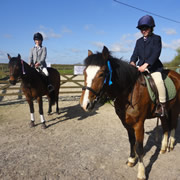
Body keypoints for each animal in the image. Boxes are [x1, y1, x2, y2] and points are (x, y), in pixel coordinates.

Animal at [80, 46, 180, 180]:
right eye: (84, 72)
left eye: (101, 74)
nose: (85, 104)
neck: (129, 91)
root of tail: (176, 74)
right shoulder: (126, 123)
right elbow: (131, 141)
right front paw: (132, 159)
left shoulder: (139, 125)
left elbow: (139, 147)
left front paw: (141, 173)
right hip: (164, 112)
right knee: (165, 127)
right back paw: (163, 148)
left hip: (175, 108)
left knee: (173, 125)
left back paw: (170, 145)